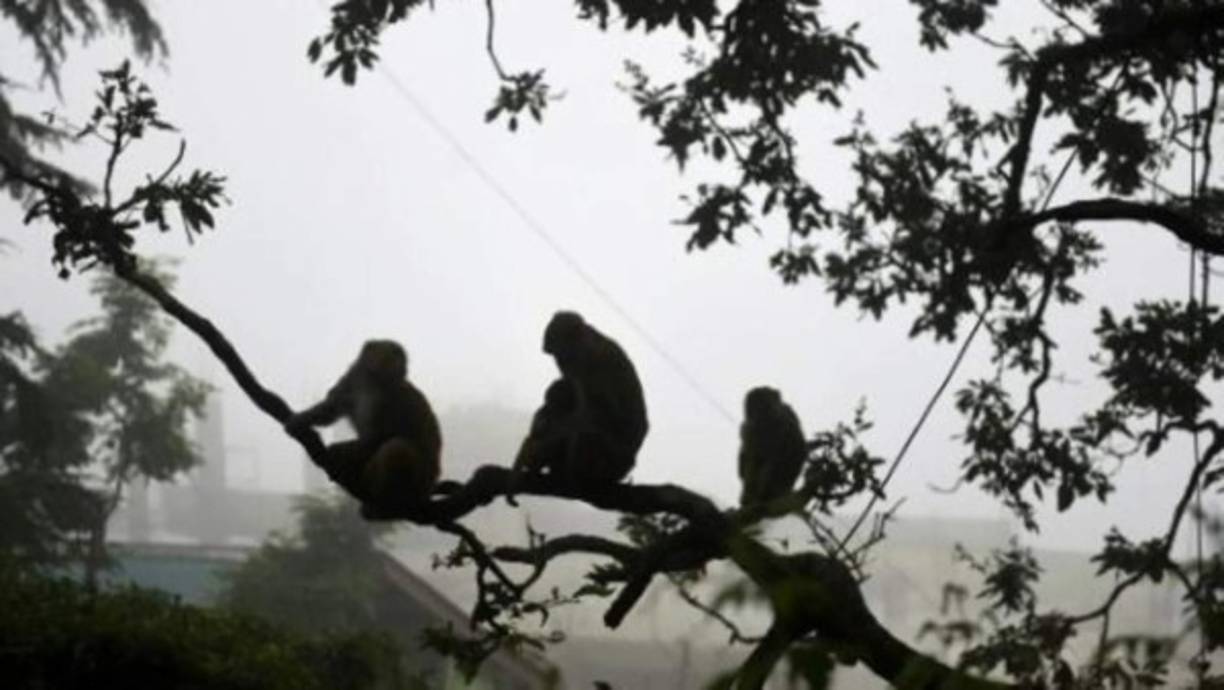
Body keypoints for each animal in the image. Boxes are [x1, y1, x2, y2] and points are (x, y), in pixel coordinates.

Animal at [286, 340, 441, 517]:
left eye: (401, 357)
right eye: (395, 354)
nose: (403, 367)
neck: (374, 379)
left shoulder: (387, 397)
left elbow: (375, 438)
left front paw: (336, 451)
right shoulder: (355, 376)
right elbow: (332, 406)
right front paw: (300, 420)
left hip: (421, 482)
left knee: (396, 449)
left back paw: (390, 503)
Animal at [512, 311, 648, 497]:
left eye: (558, 353)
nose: (548, 350)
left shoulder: (586, 358)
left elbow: (595, 411)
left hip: (610, 461)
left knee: (587, 430)